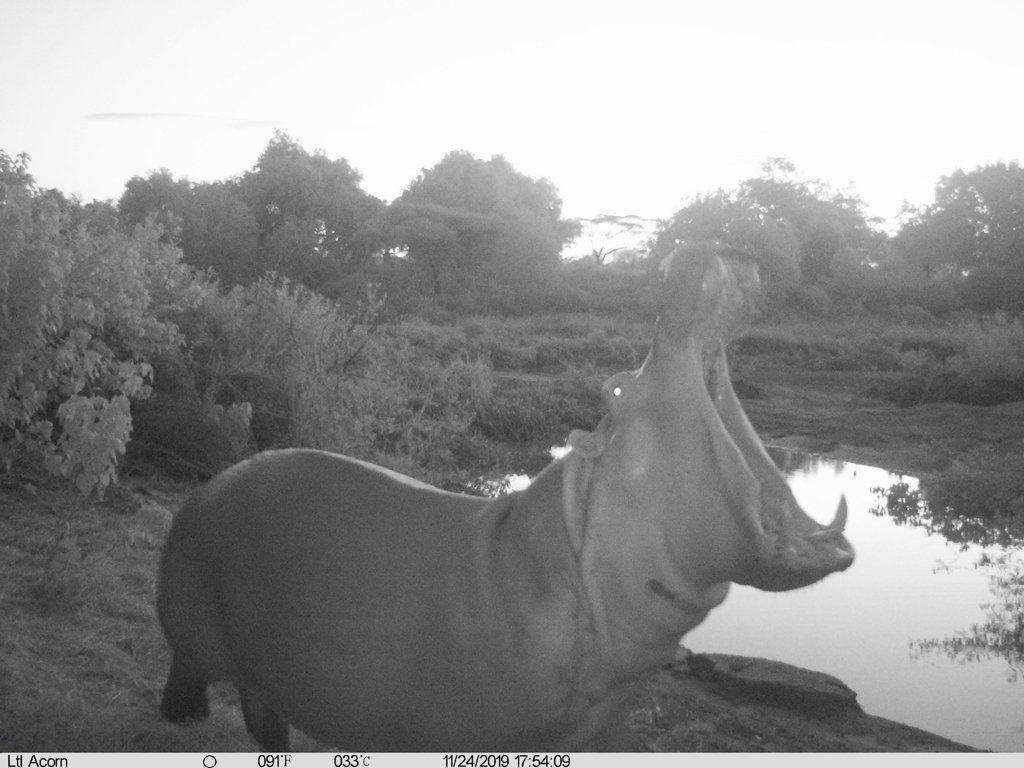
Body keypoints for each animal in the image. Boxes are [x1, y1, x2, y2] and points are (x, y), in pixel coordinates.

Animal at [156, 244, 854, 751]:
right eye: (615, 388)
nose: (698, 242)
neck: (569, 555)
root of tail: (212, 483)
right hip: (192, 637)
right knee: (186, 680)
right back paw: (180, 723)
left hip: (263, 668)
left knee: (262, 712)